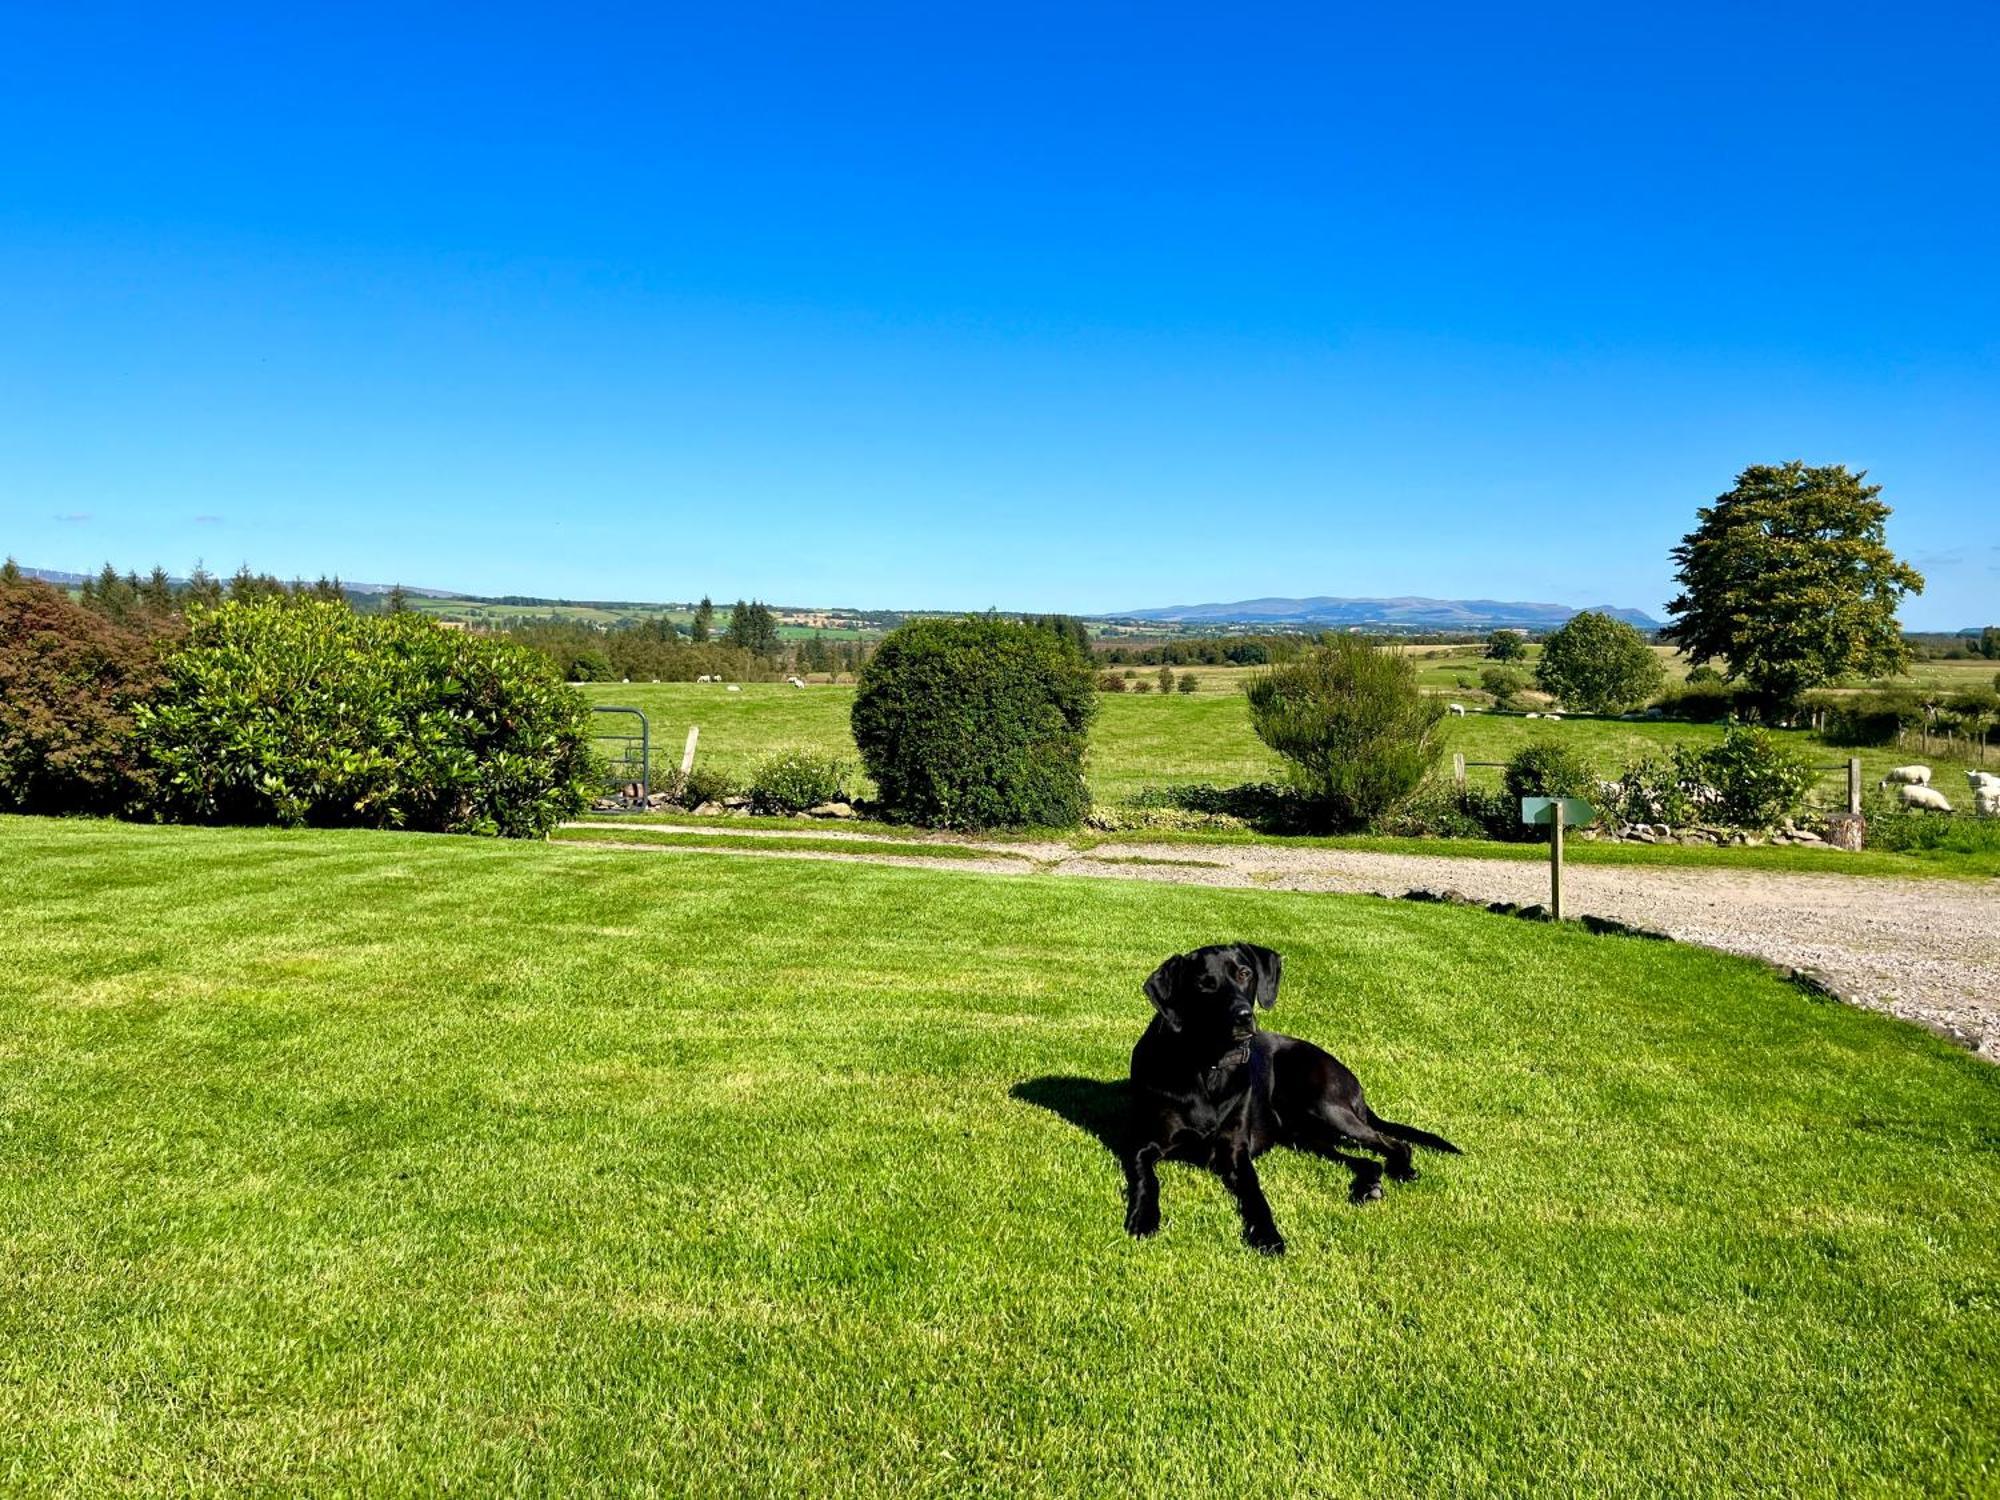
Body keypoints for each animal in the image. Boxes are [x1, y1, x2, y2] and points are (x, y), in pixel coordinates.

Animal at [1120, 952, 1464, 1256]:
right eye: (1205, 984)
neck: (1209, 1067)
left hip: (1326, 1107)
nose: (1243, 1017)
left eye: (1244, 974)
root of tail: (1354, 1083)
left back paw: (1401, 1170)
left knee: (1395, 1143)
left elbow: (1255, 1194)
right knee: (1367, 1160)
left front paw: (1267, 1235)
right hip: (1304, 1136)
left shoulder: (1236, 1152)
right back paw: (1368, 1186)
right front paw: (1144, 1217)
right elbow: (1148, 1180)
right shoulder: (1142, 1145)